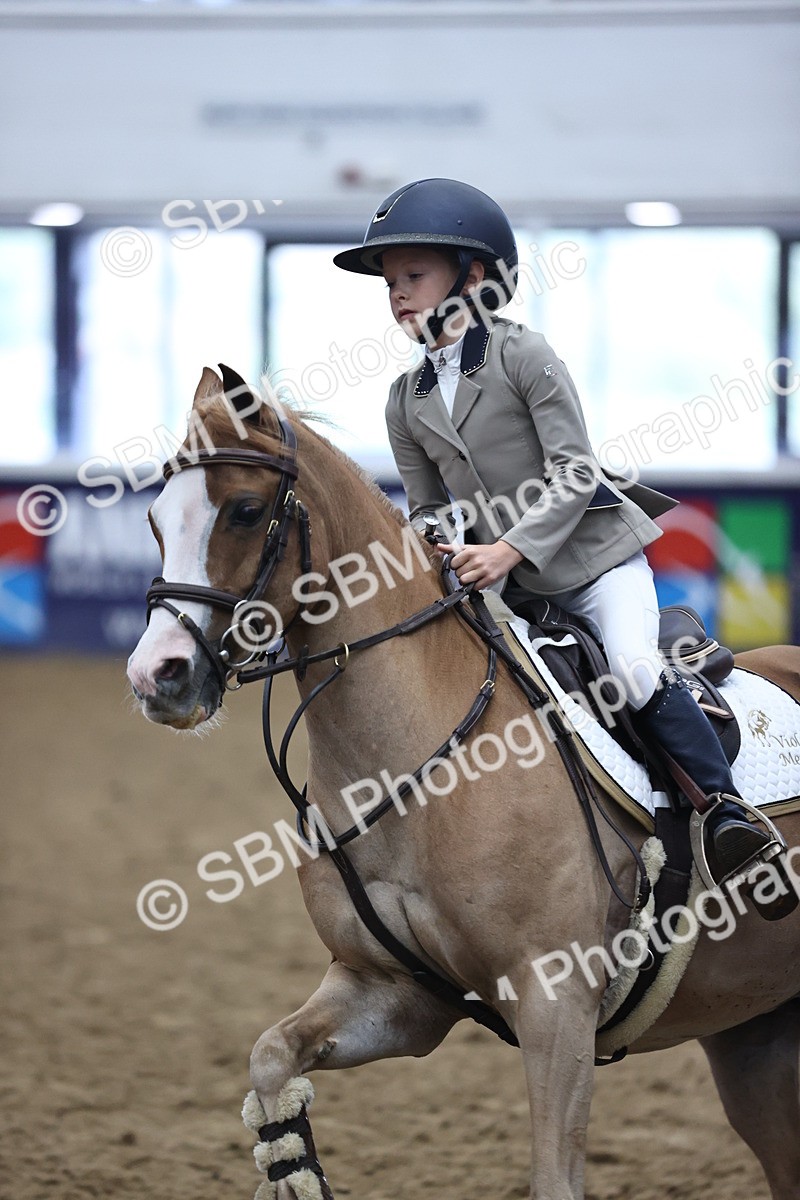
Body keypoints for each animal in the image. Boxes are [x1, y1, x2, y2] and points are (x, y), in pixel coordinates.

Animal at [127, 366, 800, 1200]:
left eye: (246, 511)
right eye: (155, 519)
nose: (156, 677)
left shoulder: (555, 1003)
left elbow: (554, 1176)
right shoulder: (395, 991)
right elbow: (270, 1056)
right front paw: (292, 1167)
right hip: (756, 1037)